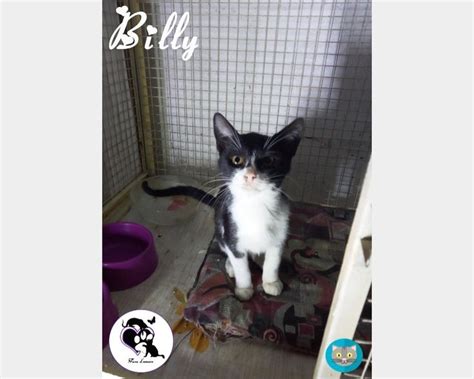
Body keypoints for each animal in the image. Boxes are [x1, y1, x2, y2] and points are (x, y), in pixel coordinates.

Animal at [143, 112, 304, 300]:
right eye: (237, 159)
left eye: (270, 160)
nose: (250, 175)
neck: (254, 205)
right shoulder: (231, 234)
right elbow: (241, 266)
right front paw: (244, 289)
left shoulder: (279, 234)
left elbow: (273, 260)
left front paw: (271, 282)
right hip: (220, 229)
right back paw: (230, 266)